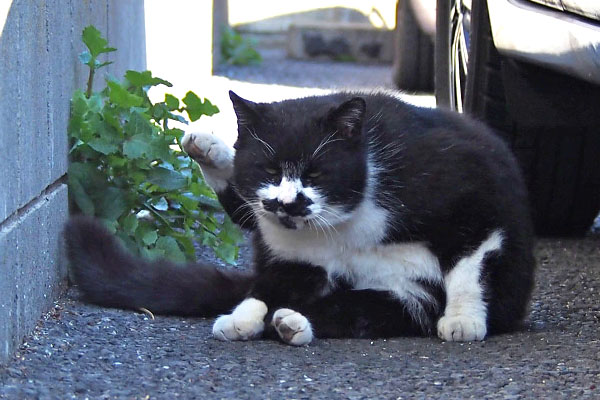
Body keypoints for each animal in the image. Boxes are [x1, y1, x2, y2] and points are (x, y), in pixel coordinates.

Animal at [64, 90, 536, 344]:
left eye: (315, 174)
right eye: (270, 171)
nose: (286, 203)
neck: (348, 221)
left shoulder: (478, 198)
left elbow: (470, 265)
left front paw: (464, 320)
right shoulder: (291, 253)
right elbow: (265, 288)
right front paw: (243, 318)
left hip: (408, 295)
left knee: (357, 310)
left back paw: (292, 324)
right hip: (298, 260)